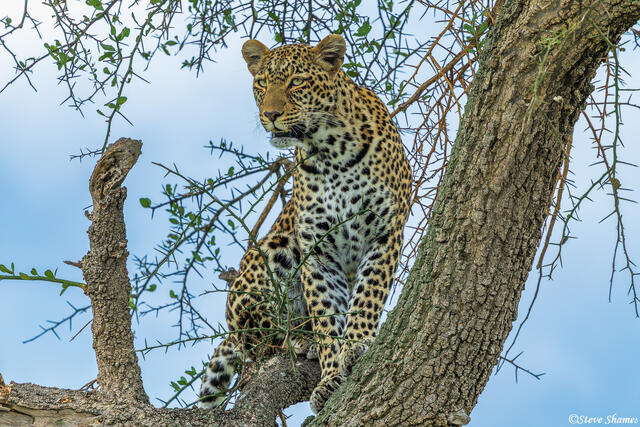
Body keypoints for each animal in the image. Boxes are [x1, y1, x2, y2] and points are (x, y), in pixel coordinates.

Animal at [198, 34, 411, 414]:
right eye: (262, 83)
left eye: (297, 81)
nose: (270, 115)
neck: (332, 151)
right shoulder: (317, 251)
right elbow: (326, 316)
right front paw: (330, 375)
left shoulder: (385, 231)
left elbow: (368, 294)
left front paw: (357, 343)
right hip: (272, 250)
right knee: (258, 338)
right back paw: (300, 338)